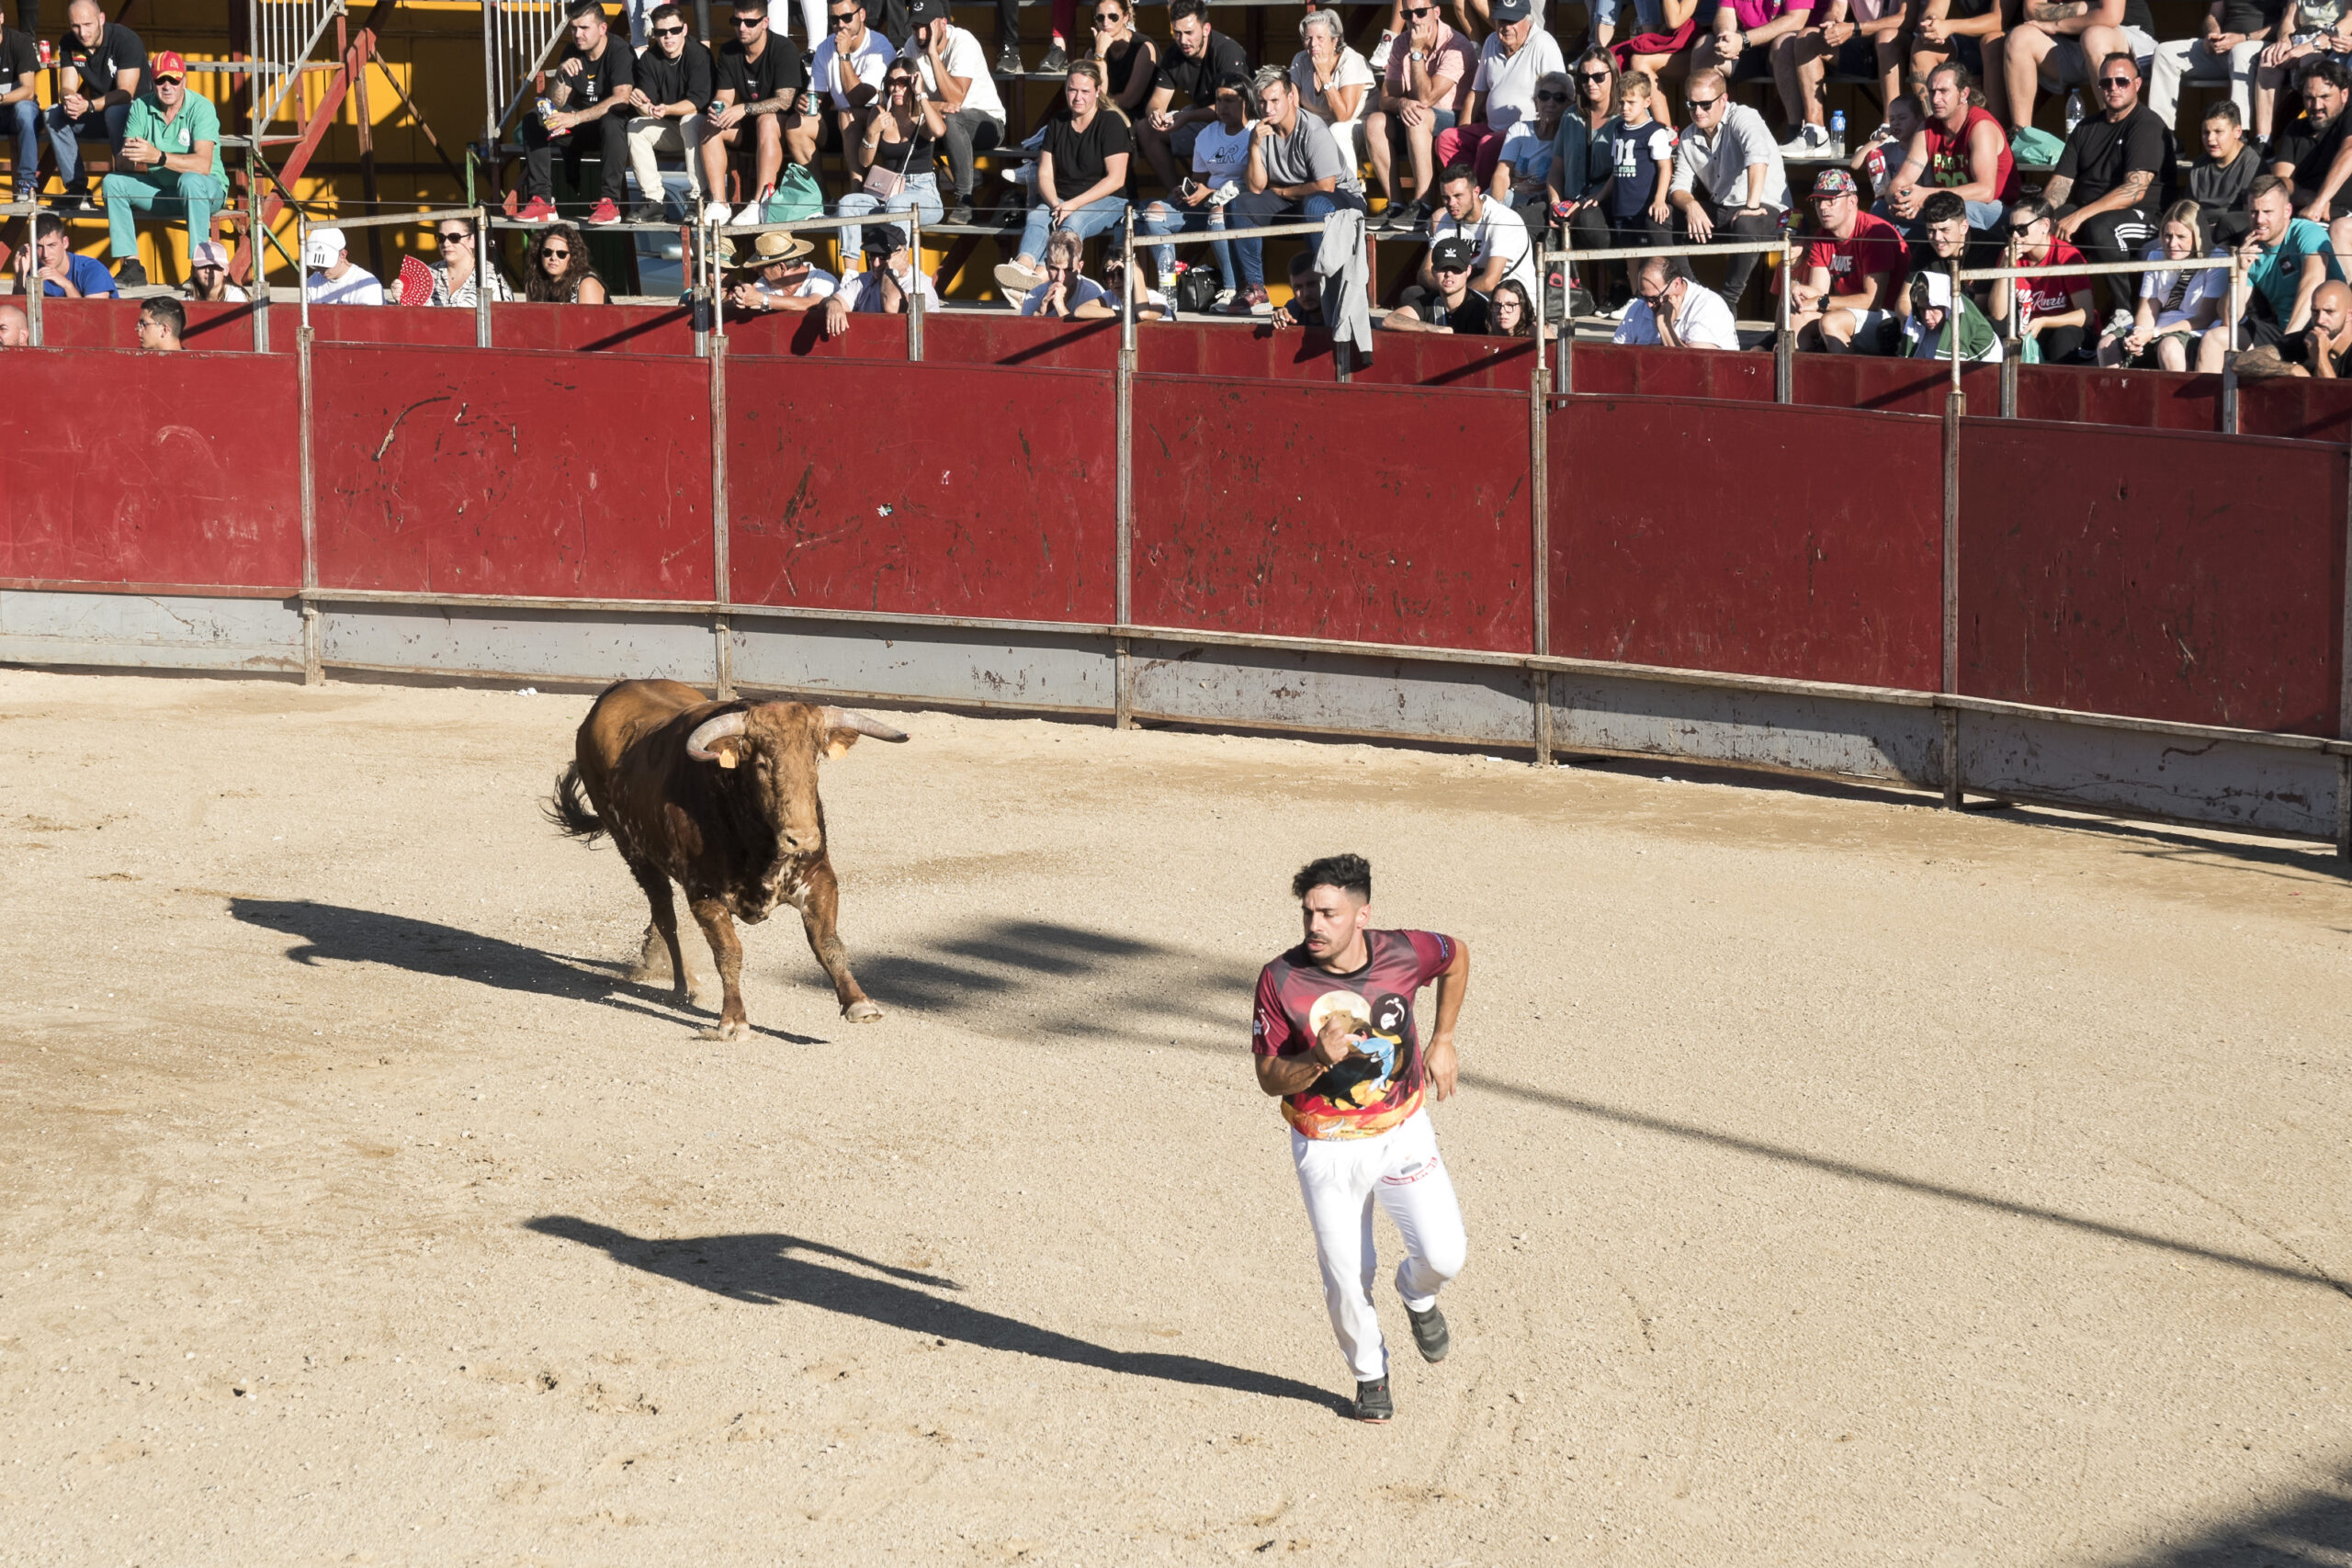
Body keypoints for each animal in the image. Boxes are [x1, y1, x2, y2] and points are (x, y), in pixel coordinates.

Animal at [548, 677, 908, 1034]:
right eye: (762, 763)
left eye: (816, 759)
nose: (802, 839)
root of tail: (617, 688)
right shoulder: (704, 893)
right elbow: (728, 952)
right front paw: (733, 1019)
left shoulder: (818, 877)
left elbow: (827, 941)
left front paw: (858, 1002)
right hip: (634, 852)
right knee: (665, 915)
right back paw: (683, 984)